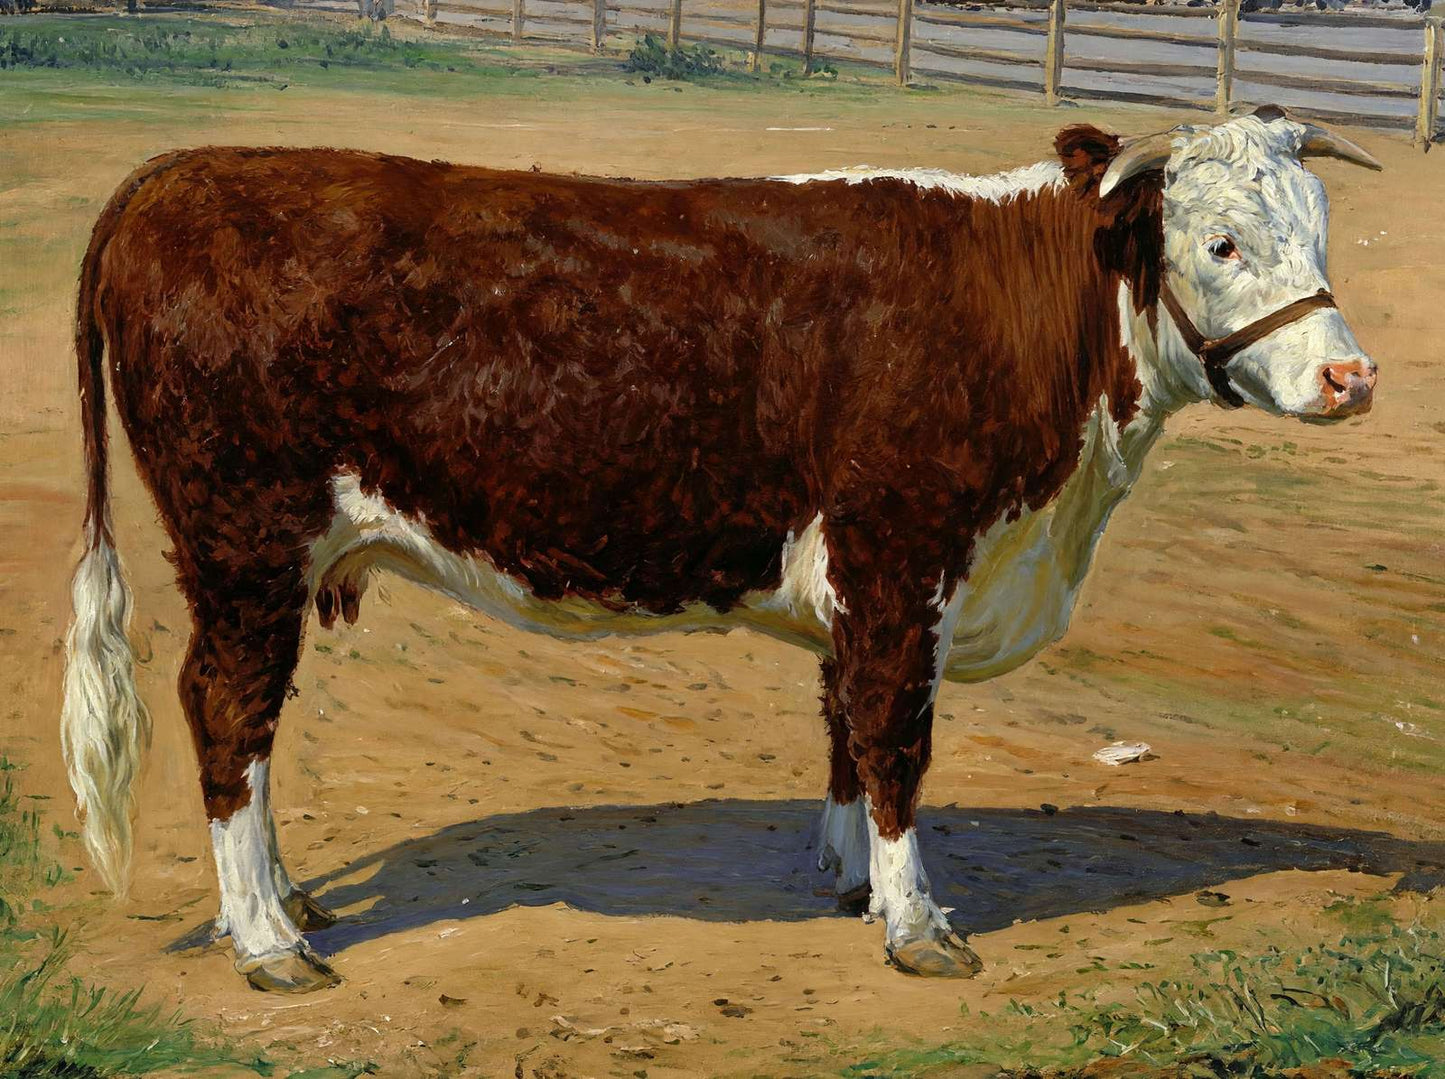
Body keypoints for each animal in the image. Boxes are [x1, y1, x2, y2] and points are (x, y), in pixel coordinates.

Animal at [61, 107, 1381, 993]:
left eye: (1320, 230)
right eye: (1218, 243)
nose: (1350, 378)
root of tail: (182, 171)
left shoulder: (863, 586)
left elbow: (846, 730)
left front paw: (852, 884)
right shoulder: (899, 557)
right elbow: (896, 742)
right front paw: (917, 924)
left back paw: (282, 901)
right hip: (243, 543)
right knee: (227, 709)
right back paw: (269, 939)